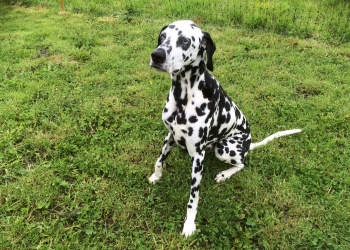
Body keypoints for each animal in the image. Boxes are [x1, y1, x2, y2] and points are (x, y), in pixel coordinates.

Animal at [148, 20, 300, 237]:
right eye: (163, 36)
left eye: (185, 40)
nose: (157, 55)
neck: (183, 96)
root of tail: (249, 144)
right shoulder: (170, 135)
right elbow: (159, 160)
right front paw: (156, 176)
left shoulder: (198, 156)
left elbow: (193, 198)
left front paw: (189, 224)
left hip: (224, 148)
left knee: (242, 164)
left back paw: (224, 174)